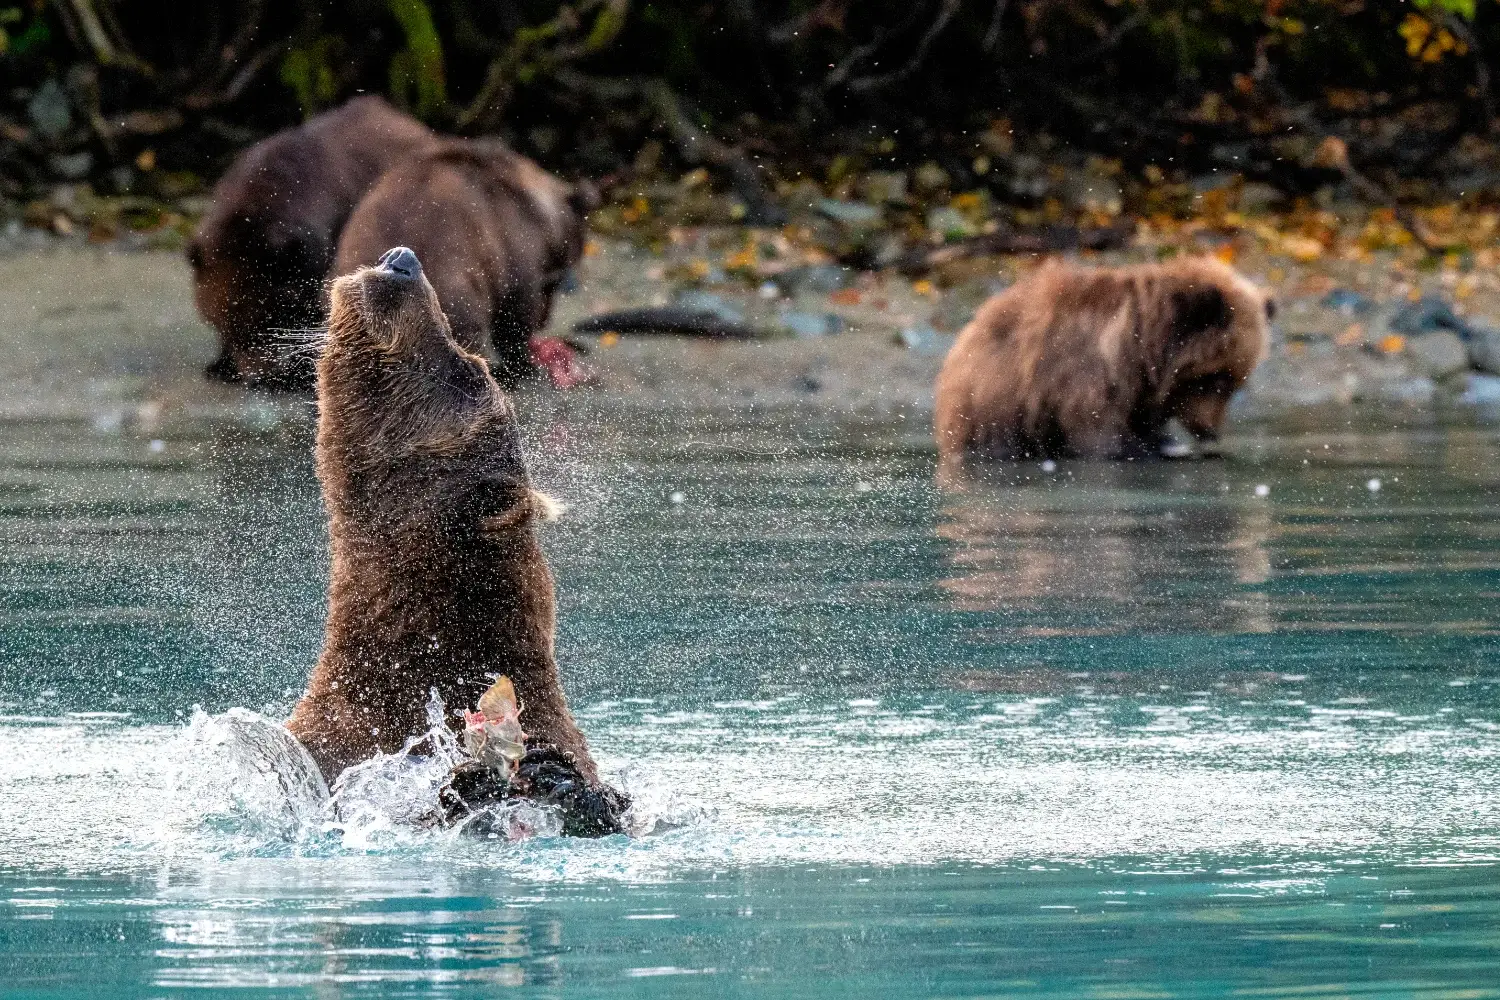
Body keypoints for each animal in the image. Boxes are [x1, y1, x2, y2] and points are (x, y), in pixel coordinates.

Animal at [934, 257, 1273, 463]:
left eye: (1236, 382)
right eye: (1215, 378)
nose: (1210, 431)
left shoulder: (1139, 391)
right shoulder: (1085, 371)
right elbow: (1098, 432)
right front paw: (1161, 450)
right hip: (993, 401)